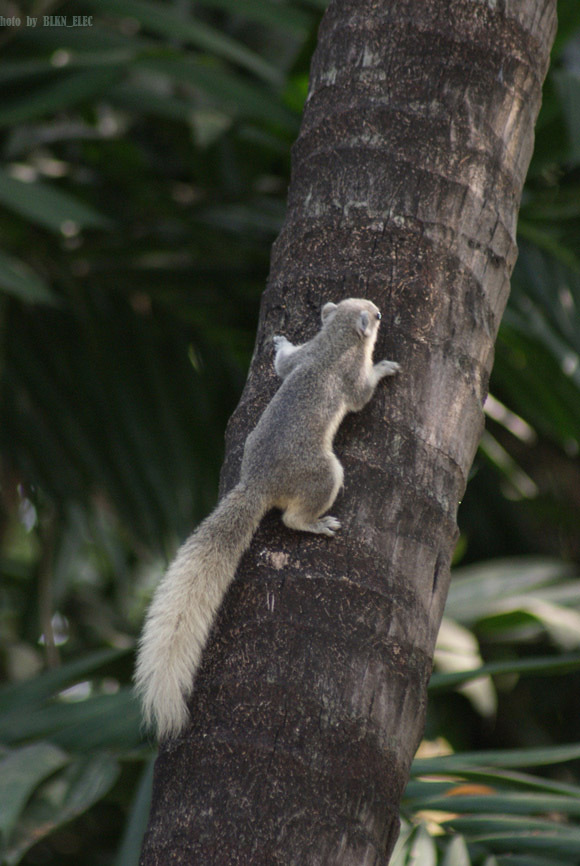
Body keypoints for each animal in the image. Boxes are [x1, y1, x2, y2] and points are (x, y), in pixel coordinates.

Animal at [135, 296, 398, 736]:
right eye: (374, 316)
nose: (379, 309)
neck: (332, 343)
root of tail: (258, 484)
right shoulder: (351, 377)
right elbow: (363, 394)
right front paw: (385, 368)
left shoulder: (302, 358)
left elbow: (283, 365)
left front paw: (280, 342)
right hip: (324, 473)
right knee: (294, 518)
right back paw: (318, 524)